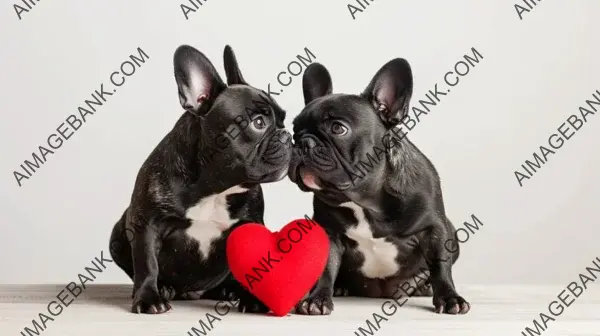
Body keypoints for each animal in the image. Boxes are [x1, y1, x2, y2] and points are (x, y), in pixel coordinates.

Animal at [111, 43, 294, 314]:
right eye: (258, 122)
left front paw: (254, 299)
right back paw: (163, 289)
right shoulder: (147, 224)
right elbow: (147, 263)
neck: (215, 187)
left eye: (283, 119)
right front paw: (148, 299)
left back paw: (229, 290)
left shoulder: (250, 224)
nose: (287, 135)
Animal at [288, 58, 472, 316]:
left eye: (338, 128)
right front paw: (318, 299)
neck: (365, 200)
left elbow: (440, 265)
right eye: (295, 130)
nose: (302, 142)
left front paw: (449, 298)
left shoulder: (434, 229)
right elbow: (326, 267)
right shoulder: (329, 232)